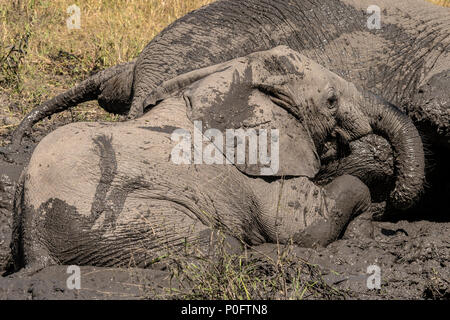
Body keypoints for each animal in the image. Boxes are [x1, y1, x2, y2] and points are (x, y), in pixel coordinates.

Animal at [7, 47, 426, 272]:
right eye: (332, 101)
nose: (391, 206)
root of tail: (35, 244)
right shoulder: (254, 174)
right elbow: (300, 226)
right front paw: (362, 229)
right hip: (124, 221)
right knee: (221, 248)